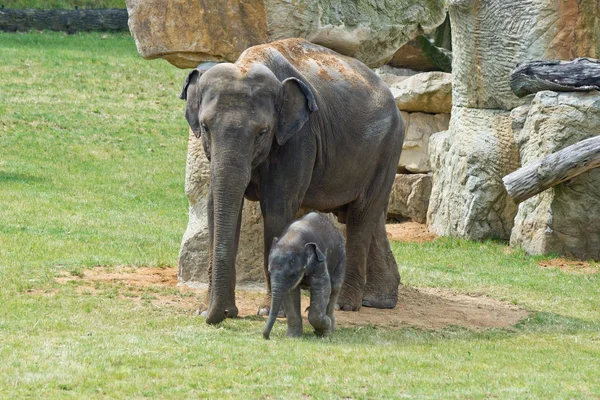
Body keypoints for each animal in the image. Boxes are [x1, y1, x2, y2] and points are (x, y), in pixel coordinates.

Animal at [178, 38, 404, 324]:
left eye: (262, 132)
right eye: (205, 128)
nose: (227, 313)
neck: (249, 62)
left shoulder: (299, 138)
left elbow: (277, 210)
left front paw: (271, 312)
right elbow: (214, 208)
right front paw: (206, 310)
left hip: (388, 148)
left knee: (362, 215)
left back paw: (346, 305)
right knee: (373, 217)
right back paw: (377, 301)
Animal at [264, 211, 344, 340]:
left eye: (293, 275)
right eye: (269, 272)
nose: (267, 337)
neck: (293, 237)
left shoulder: (319, 258)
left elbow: (322, 286)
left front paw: (323, 330)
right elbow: (291, 293)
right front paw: (292, 337)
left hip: (341, 258)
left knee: (335, 288)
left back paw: (330, 327)